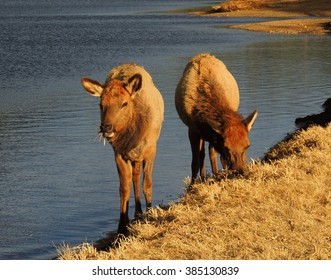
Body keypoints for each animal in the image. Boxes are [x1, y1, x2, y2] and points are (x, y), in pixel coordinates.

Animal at [81, 63, 165, 234]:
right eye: (101, 104)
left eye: (124, 103)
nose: (106, 127)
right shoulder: (119, 153)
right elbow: (124, 188)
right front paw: (122, 226)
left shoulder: (151, 149)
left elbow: (148, 184)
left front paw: (150, 214)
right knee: (134, 176)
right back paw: (137, 211)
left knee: (138, 176)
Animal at [175, 53, 258, 184]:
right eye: (227, 147)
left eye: (247, 145)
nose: (240, 171)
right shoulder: (192, 130)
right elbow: (195, 161)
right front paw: (192, 184)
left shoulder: (213, 135)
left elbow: (214, 154)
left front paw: (217, 174)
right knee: (202, 155)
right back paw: (203, 177)